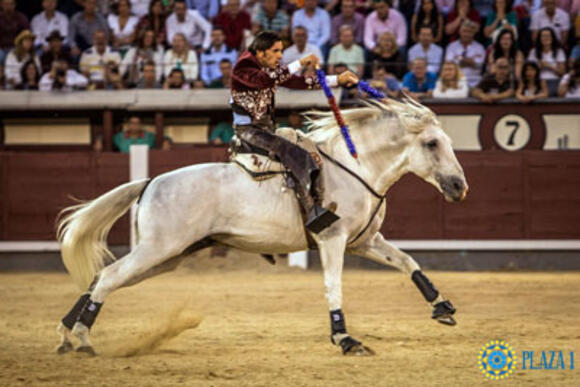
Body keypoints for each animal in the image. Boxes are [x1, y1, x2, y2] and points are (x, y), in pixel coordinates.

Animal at [56, 98, 468, 356]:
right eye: (432, 144)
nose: (459, 186)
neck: (356, 168)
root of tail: (150, 181)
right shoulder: (333, 240)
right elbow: (333, 286)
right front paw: (345, 338)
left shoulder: (363, 241)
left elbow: (408, 261)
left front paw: (442, 306)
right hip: (158, 250)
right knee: (108, 278)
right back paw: (83, 340)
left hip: (165, 257)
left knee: (102, 277)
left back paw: (66, 335)